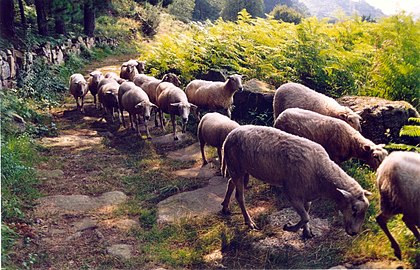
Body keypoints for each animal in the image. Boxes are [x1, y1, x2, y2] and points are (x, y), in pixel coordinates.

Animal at [220, 125, 370, 237]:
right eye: (354, 209)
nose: (354, 233)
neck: (321, 172)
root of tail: (229, 134)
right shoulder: (292, 193)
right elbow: (306, 217)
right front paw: (289, 228)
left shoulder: (308, 194)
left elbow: (307, 212)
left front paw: (306, 231)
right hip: (235, 166)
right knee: (240, 196)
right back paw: (249, 222)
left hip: (240, 169)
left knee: (230, 183)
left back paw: (225, 206)